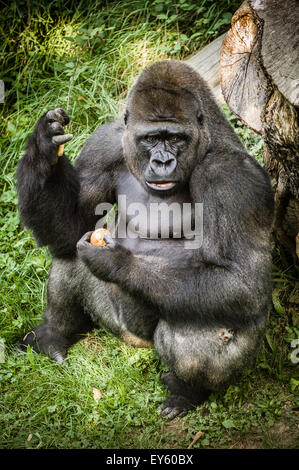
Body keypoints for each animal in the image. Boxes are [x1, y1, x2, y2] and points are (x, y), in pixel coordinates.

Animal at [15, 59, 274, 418]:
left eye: (176, 138)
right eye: (151, 138)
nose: (163, 161)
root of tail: (135, 343)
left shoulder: (232, 178)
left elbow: (241, 283)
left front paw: (117, 262)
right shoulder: (105, 145)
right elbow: (73, 228)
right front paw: (43, 147)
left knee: (204, 321)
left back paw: (186, 392)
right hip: (113, 322)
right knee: (69, 252)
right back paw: (54, 336)